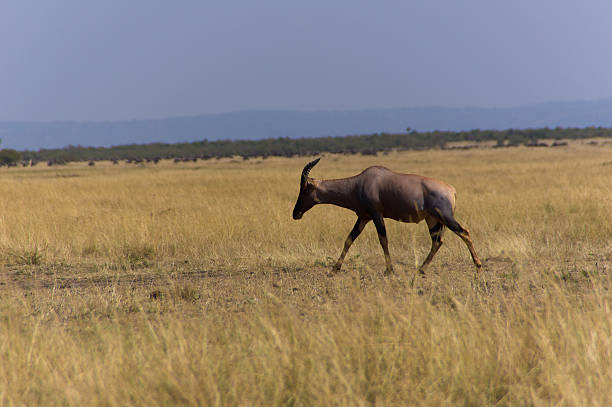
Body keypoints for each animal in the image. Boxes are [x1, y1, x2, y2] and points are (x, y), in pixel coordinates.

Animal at [292, 158, 482, 276]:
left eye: (304, 189)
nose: (295, 214)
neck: (360, 182)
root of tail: (452, 190)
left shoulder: (377, 215)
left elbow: (383, 239)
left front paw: (389, 270)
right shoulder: (363, 217)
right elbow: (349, 239)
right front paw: (334, 269)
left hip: (445, 217)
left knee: (464, 232)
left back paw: (478, 265)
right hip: (432, 220)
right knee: (437, 241)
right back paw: (420, 270)